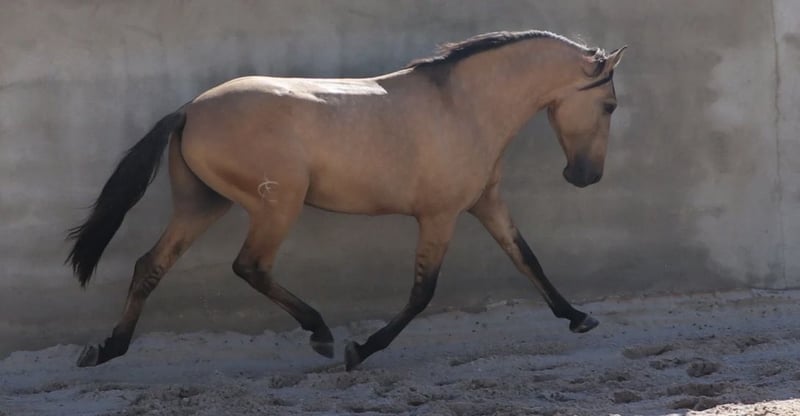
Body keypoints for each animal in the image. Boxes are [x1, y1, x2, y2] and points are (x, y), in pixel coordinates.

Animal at [67, 30, 626, 370]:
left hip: (201, 204)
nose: (586, 177)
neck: (464, 105)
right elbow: (422, 293)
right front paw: (361, 350)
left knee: (150, 265)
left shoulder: (485, 203)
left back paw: (107, 349)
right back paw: (321, 334)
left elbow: (526, 258)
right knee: (250, 266)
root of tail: (189, 109)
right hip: (277, 205)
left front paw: (578, 317)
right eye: (610, 105)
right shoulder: (440, 215)